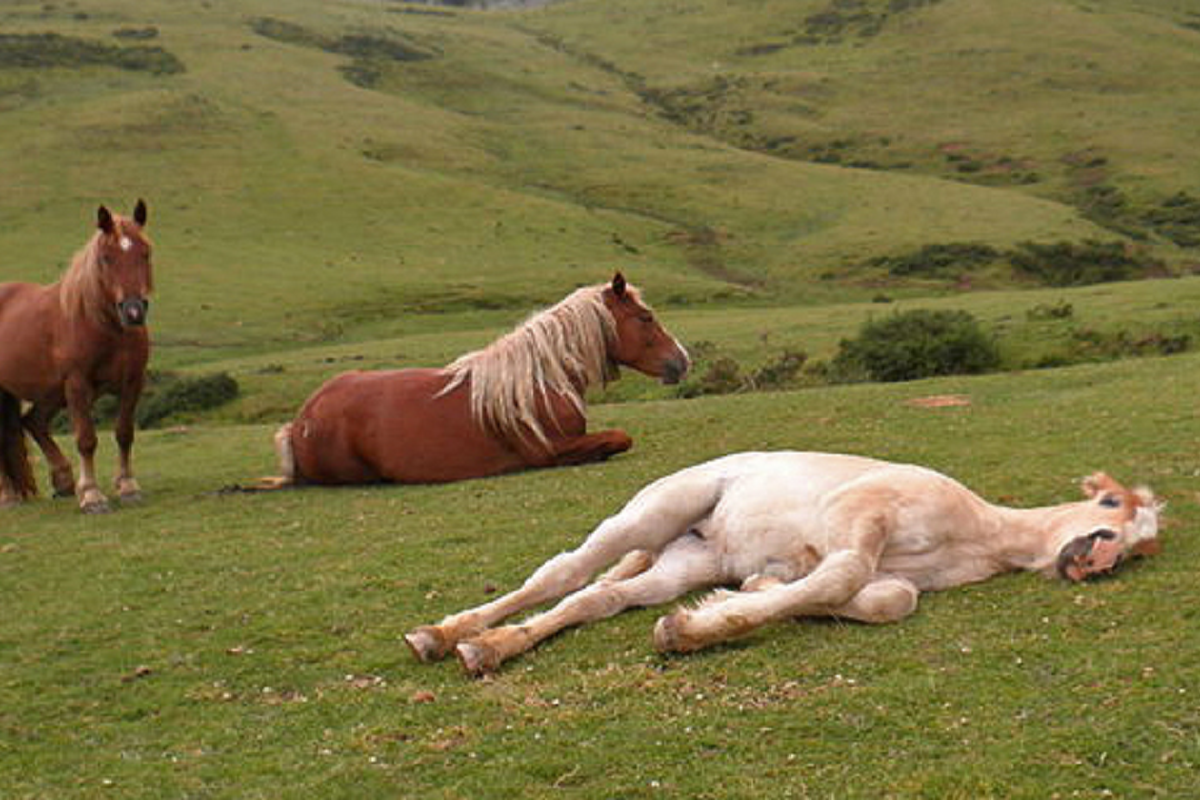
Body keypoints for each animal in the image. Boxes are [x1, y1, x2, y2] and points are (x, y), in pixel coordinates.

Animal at [0, 200, 154, 513]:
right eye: (106, 258)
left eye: (145, 253)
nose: (133, 312)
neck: (101, 326)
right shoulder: (77, 384)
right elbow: (86, 439)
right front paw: (93, 495)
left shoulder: (132, 381)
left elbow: (124, 432)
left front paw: (127, 486)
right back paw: (8, 496)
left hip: (50, 392)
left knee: (33, 421)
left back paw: (64, 481)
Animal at [270, 275, 686, 484]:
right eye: (646, 317)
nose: (682, 360)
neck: (539, 379)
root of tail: (301, 419)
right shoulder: (548, 449)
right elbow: (619, 437)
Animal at [405, 450, 1161, 676]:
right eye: (1111, 503)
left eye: (1145, 544)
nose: (1099, 558)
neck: (981, 532)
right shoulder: (862, 513)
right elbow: (843, 576)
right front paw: (692, 631)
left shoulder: (892, 572)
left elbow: (883, 598)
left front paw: (744, 595)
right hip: (657, 509)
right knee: (564, 571)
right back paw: (442, 635)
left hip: (685, 559)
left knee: (598, 598)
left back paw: (486, 647)